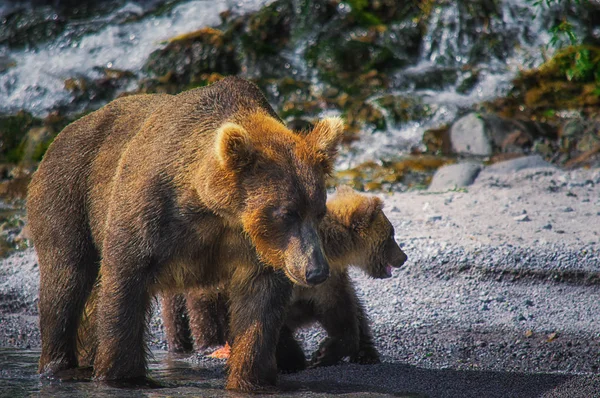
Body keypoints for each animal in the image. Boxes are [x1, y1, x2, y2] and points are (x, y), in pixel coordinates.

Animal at [27, 76, 342, 390]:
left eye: (319, 211)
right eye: (286, 213)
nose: (316, 271)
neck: (213, 209)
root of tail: (64, 132)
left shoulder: (255, 247)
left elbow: (260, 306)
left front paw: (250, 378)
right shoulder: (152, 210)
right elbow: (124, 279)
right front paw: (124, 376)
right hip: (69, 193)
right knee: (67, 279)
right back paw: (62, 366)